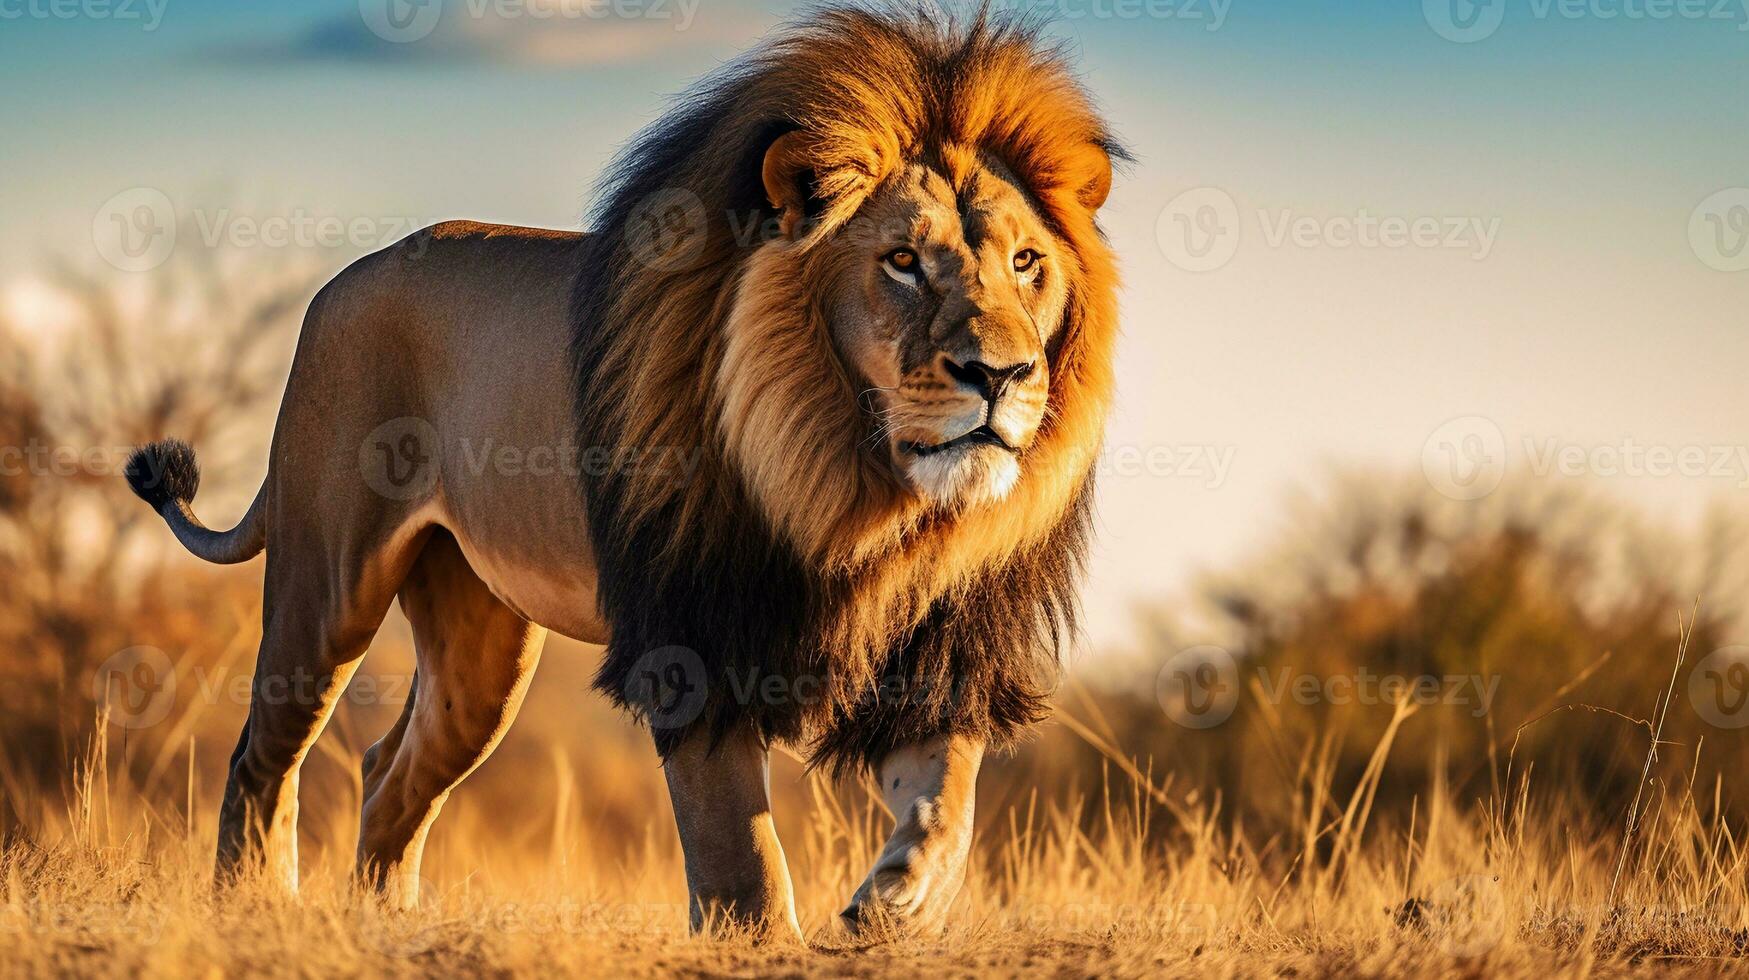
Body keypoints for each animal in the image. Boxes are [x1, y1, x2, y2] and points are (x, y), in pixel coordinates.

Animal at [129, 5, 1126, 945]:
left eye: (1026, 263)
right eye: (903, 262)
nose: (1000, 375)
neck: (860, 492)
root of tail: (335, 286)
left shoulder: (935, 649)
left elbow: (945, 805)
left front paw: (894, 907)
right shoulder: (695, 636)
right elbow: (739, 845)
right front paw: (757, 938)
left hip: (480, 653)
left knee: (389, 769)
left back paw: (386, 922)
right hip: (327, 583)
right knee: (262, 755)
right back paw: (255, 908)